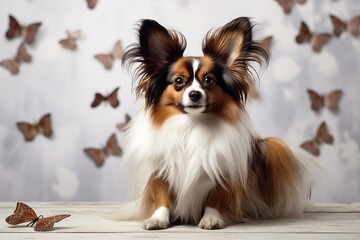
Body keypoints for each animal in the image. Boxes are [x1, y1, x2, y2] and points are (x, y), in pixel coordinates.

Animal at [116, 17, 320, 231]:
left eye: (209, 80)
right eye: (179, 81)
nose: (195, 94)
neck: (192, 125)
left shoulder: (223, 170)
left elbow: (215, 198)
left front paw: (211, 218)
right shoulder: (161, 169)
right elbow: (162, 195)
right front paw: (158, 218)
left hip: (272, 147)